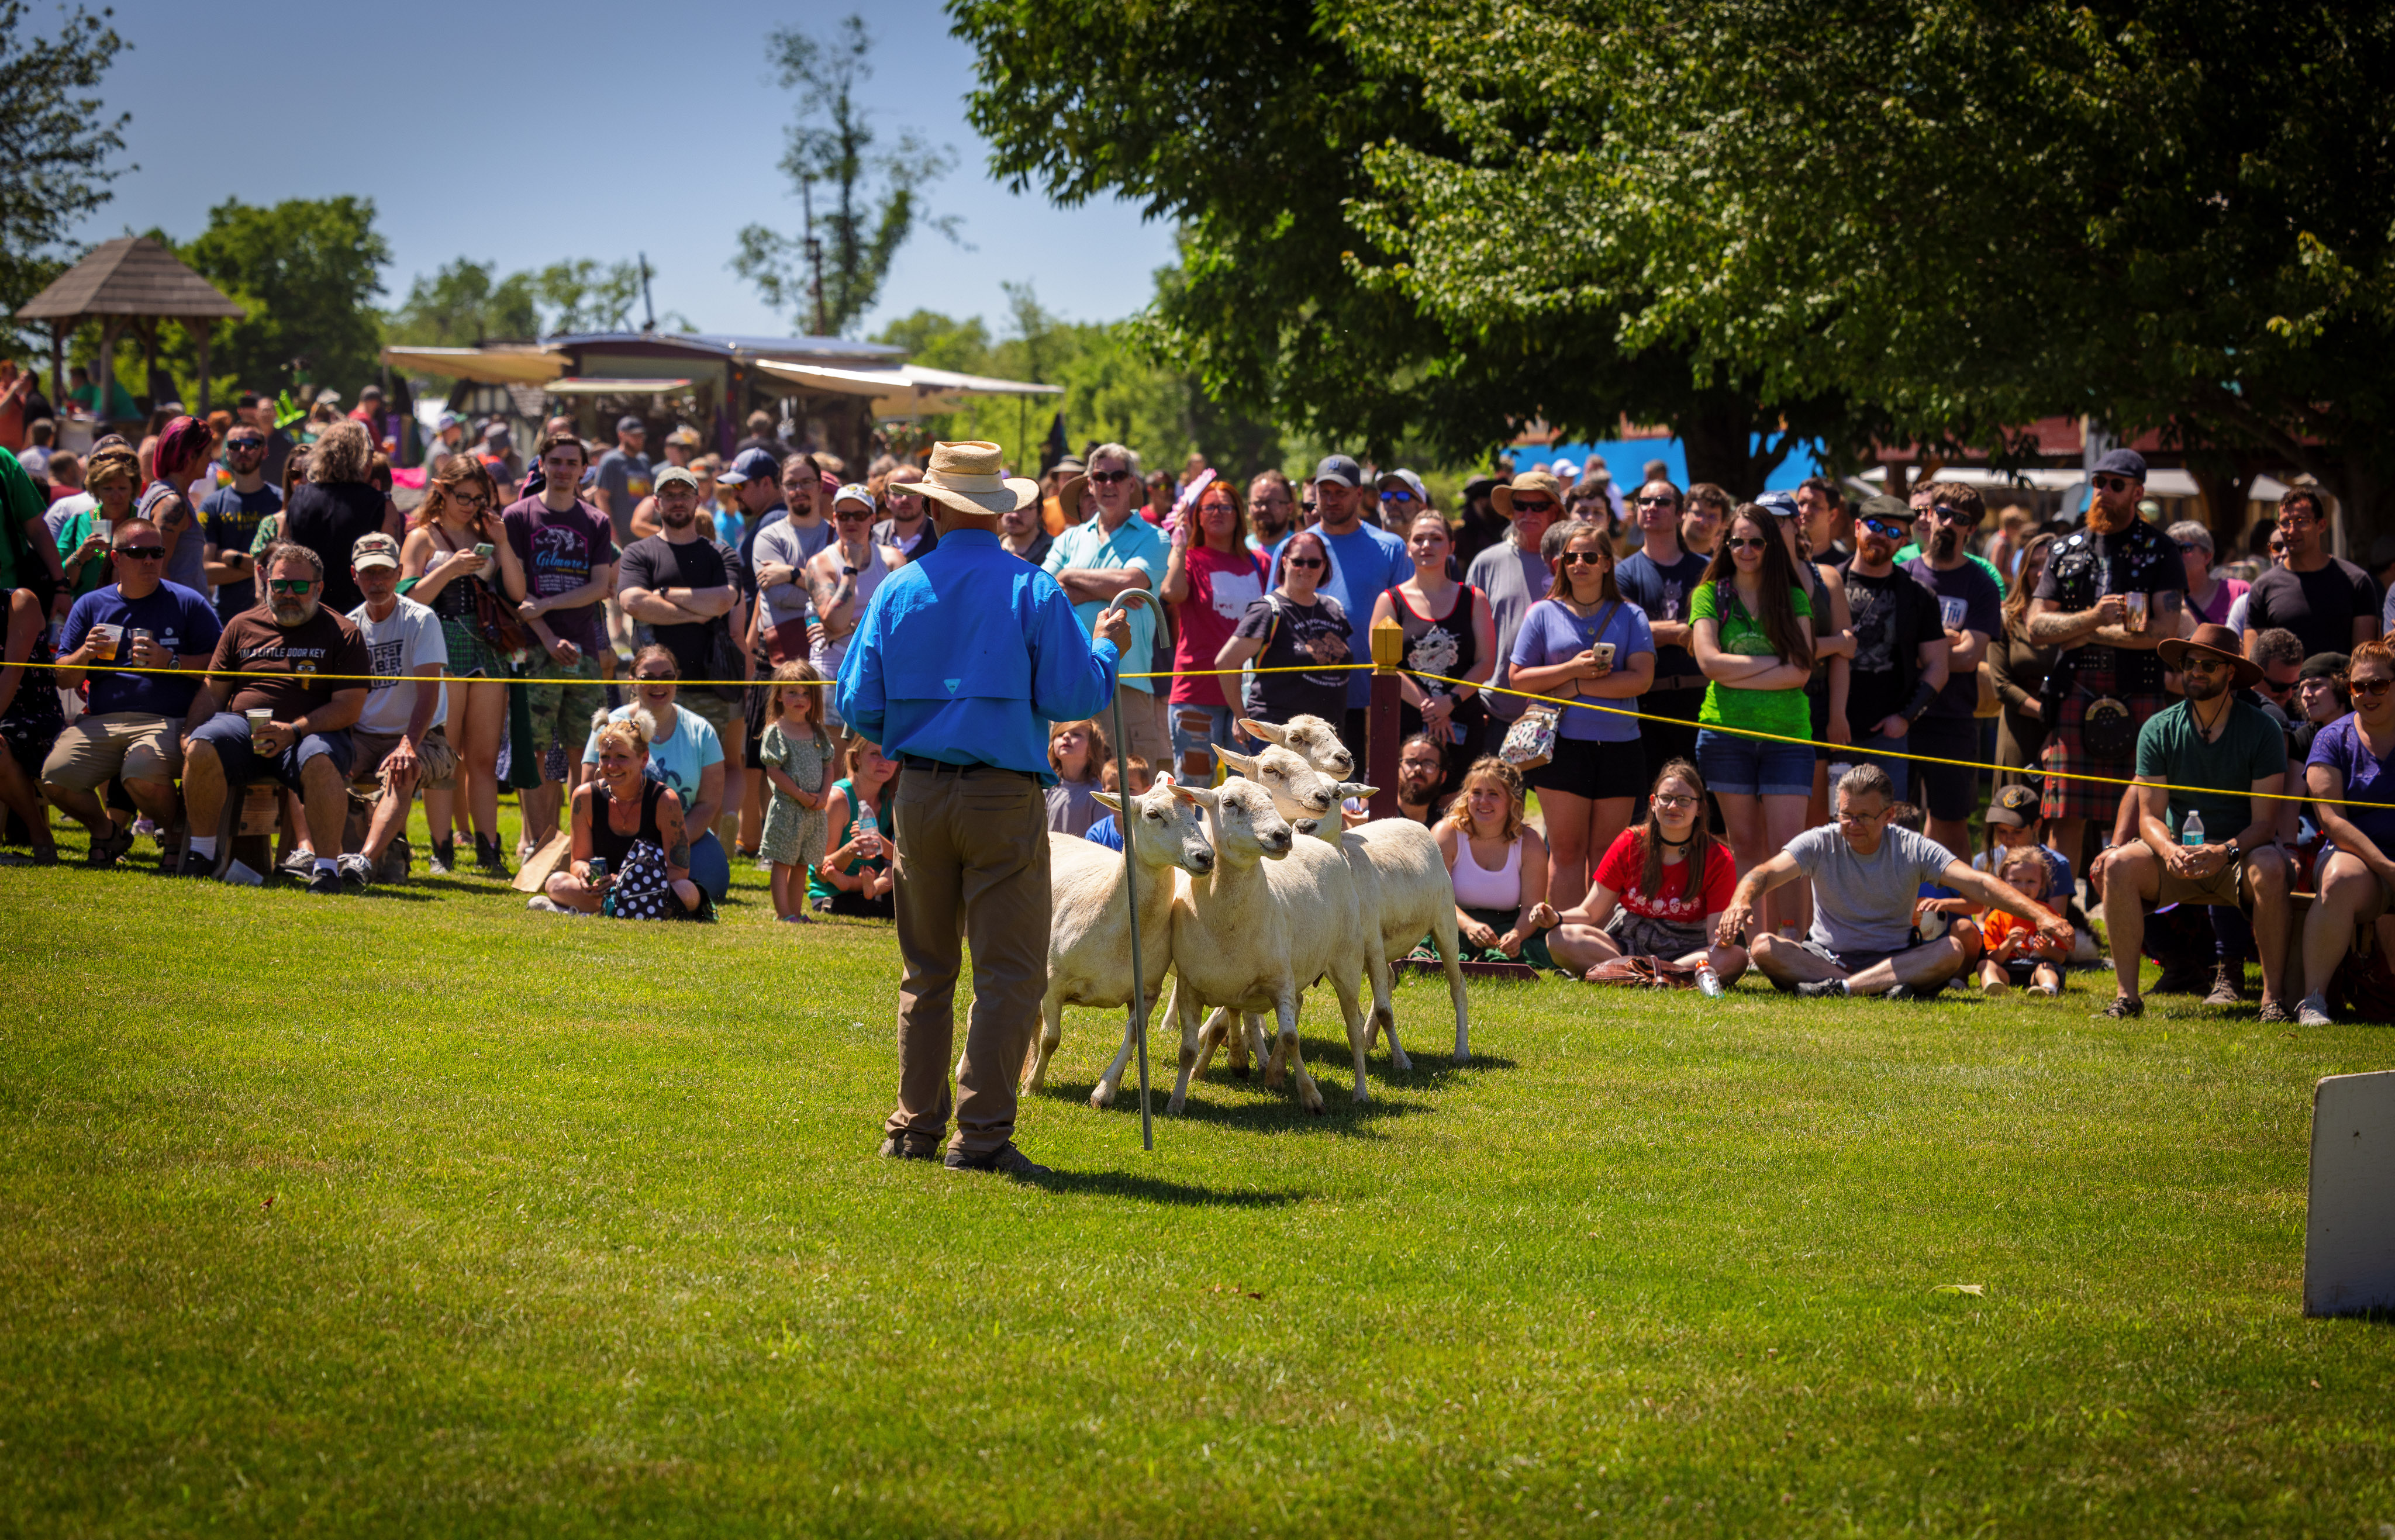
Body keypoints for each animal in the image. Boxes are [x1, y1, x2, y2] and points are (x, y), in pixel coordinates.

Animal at [1168, 776, 1379, 1116]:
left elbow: (1292, 1037)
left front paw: (1312, 1097)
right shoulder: (1189, 987)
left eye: (1270, 797)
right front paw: (1177, 1102)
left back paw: (1359, 1092)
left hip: (1346, 961)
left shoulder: (1281, 980)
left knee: (1353, 1028)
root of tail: (1322, 844)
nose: (1284, 834)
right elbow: (1187, 1050)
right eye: (1229, 803)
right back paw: (1271, 1071)